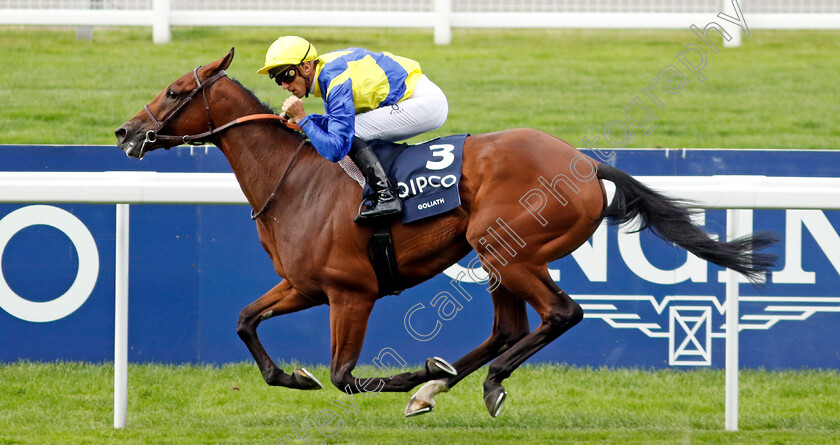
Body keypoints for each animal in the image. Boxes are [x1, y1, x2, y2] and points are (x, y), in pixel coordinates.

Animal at [115, 50, 776, 418]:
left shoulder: (350, 293)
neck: (296, 180)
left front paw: (405, 375)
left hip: (507, 249)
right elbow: (246, 322)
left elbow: (345, 376)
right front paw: (295, 376)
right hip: (501, 257)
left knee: (560, 314)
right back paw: (438, 385)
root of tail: (587, 166)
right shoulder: (304, 285)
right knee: (510, 327)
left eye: (174, 92)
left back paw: (475, 382)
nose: (125, 131)